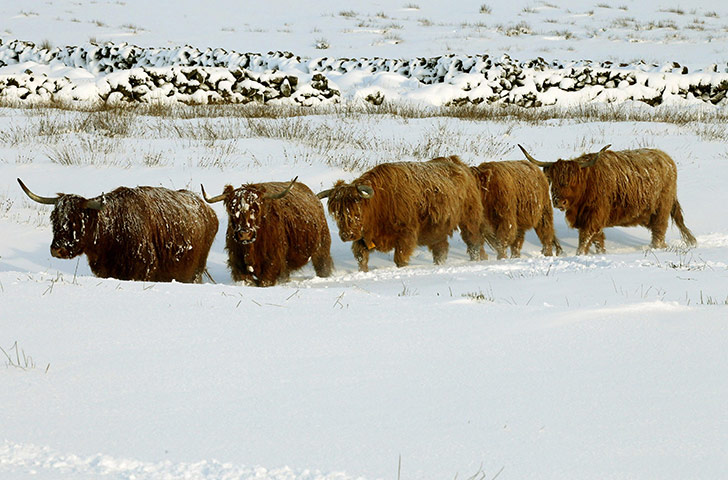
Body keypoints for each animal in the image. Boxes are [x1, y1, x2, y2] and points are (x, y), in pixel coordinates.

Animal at [201, 177, 333, 287]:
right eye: (232, 209)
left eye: (255, 209)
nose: (245, 233)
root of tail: (314, 197)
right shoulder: (238, 264)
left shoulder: (272, 263)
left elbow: (266, 281)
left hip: (321, 249)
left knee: (323, 266)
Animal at [317, 156, 485, 272]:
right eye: (336, 212)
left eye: (357, 208)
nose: (347, 235)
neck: (380, 202)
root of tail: (460, 164)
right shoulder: (362, 240)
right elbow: (361, 260)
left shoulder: (405, 236)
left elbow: (400, 259)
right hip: (438, 229)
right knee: (440, 249)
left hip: (469, 219)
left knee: (473, 241)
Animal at [517, 145, 697, 255]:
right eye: (553, 180)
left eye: (573, 180)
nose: (559, 201)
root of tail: (666, 158)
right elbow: (598, 240)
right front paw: (601, 253)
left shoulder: (594, 216)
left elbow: (586, 239)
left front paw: (580, 254)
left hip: (661, 208)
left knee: (659, 231)